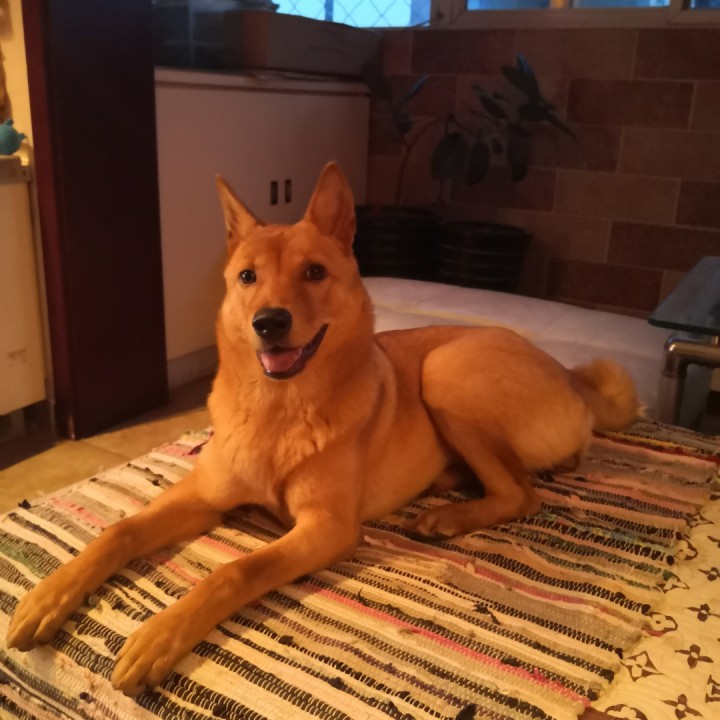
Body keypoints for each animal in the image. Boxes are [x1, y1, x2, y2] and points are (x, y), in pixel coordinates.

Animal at [6, 162, 639, 695]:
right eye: (247, 277)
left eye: (314, 273)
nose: (269, 321)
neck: (277, 409)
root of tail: (570, 375)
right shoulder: (204, 495)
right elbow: (119, 532)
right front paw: (48, 595)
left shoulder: (325, 528)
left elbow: (237, 569)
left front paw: (162, 634)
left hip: (445, 371)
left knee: (522, 493)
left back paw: (449, 515)